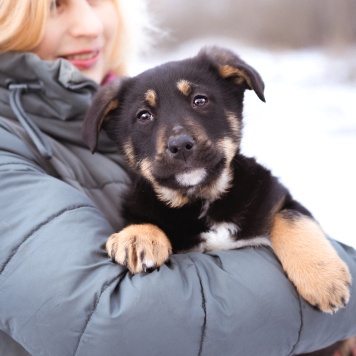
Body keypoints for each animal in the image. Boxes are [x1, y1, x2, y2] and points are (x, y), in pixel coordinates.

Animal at [82, 46, 350, 312]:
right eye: (144, 115)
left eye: (200, 100)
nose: (180, 146)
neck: (204, 200)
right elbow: (143, 218)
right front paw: (137, 237)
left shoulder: (276, 194)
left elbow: (292, 218)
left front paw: (324, 279)